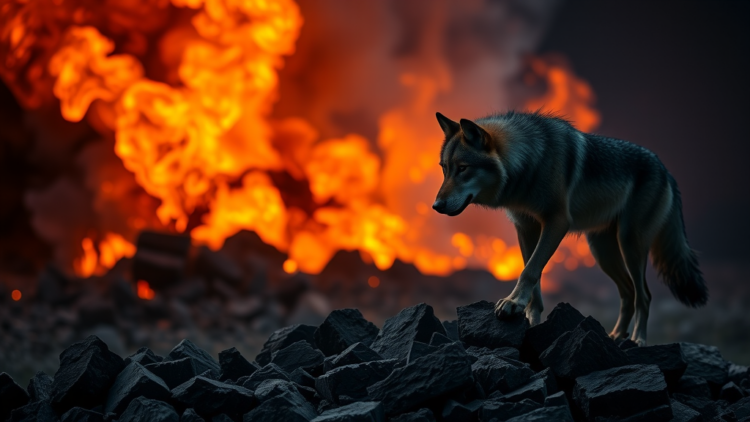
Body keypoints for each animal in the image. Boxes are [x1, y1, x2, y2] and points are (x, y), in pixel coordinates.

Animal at [432, 111, 708, 346]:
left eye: (463, 168)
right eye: (444, 169)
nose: (436, 206)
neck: (529, 162)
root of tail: (665, 170)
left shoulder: (556, 223)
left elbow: (529, 271)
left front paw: (512, 302)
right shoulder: (525, 228)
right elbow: (534, 277)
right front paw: (530, 319)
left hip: (630, 244)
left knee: (644, 296)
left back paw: (637, 339)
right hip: (602, 251)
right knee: (628, 292)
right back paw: (615, 335)